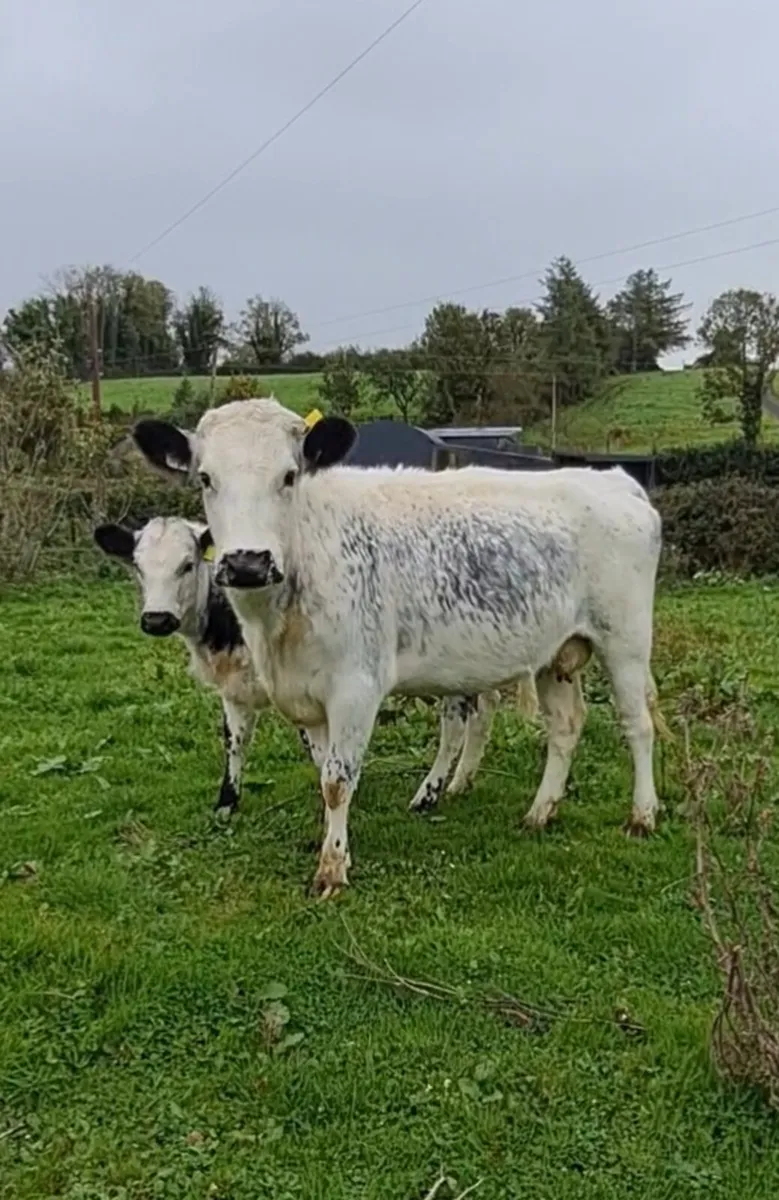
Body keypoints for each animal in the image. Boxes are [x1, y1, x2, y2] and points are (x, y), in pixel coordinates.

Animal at [92, 514, 506, 817]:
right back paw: (460, 782)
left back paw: (428, 794)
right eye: (138, 567)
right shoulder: (235, 688)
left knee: (454, 724)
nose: (156, 619)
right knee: (483, 713)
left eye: (187, 564)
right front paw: (227, 803)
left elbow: (320, 752)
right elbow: (235, 741)